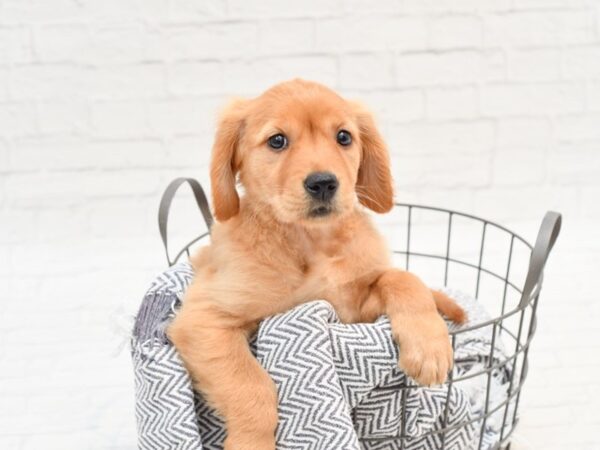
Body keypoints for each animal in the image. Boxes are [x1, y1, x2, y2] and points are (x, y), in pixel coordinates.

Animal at [166, 79, 466, 448]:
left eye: (344, 137)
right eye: (277, 140)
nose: (323, 182)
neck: (312, 244)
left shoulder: (353, 312)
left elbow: (402, 278)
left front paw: (429, 347)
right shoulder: (203, 319)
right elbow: (251, 384)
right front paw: (251, 440)